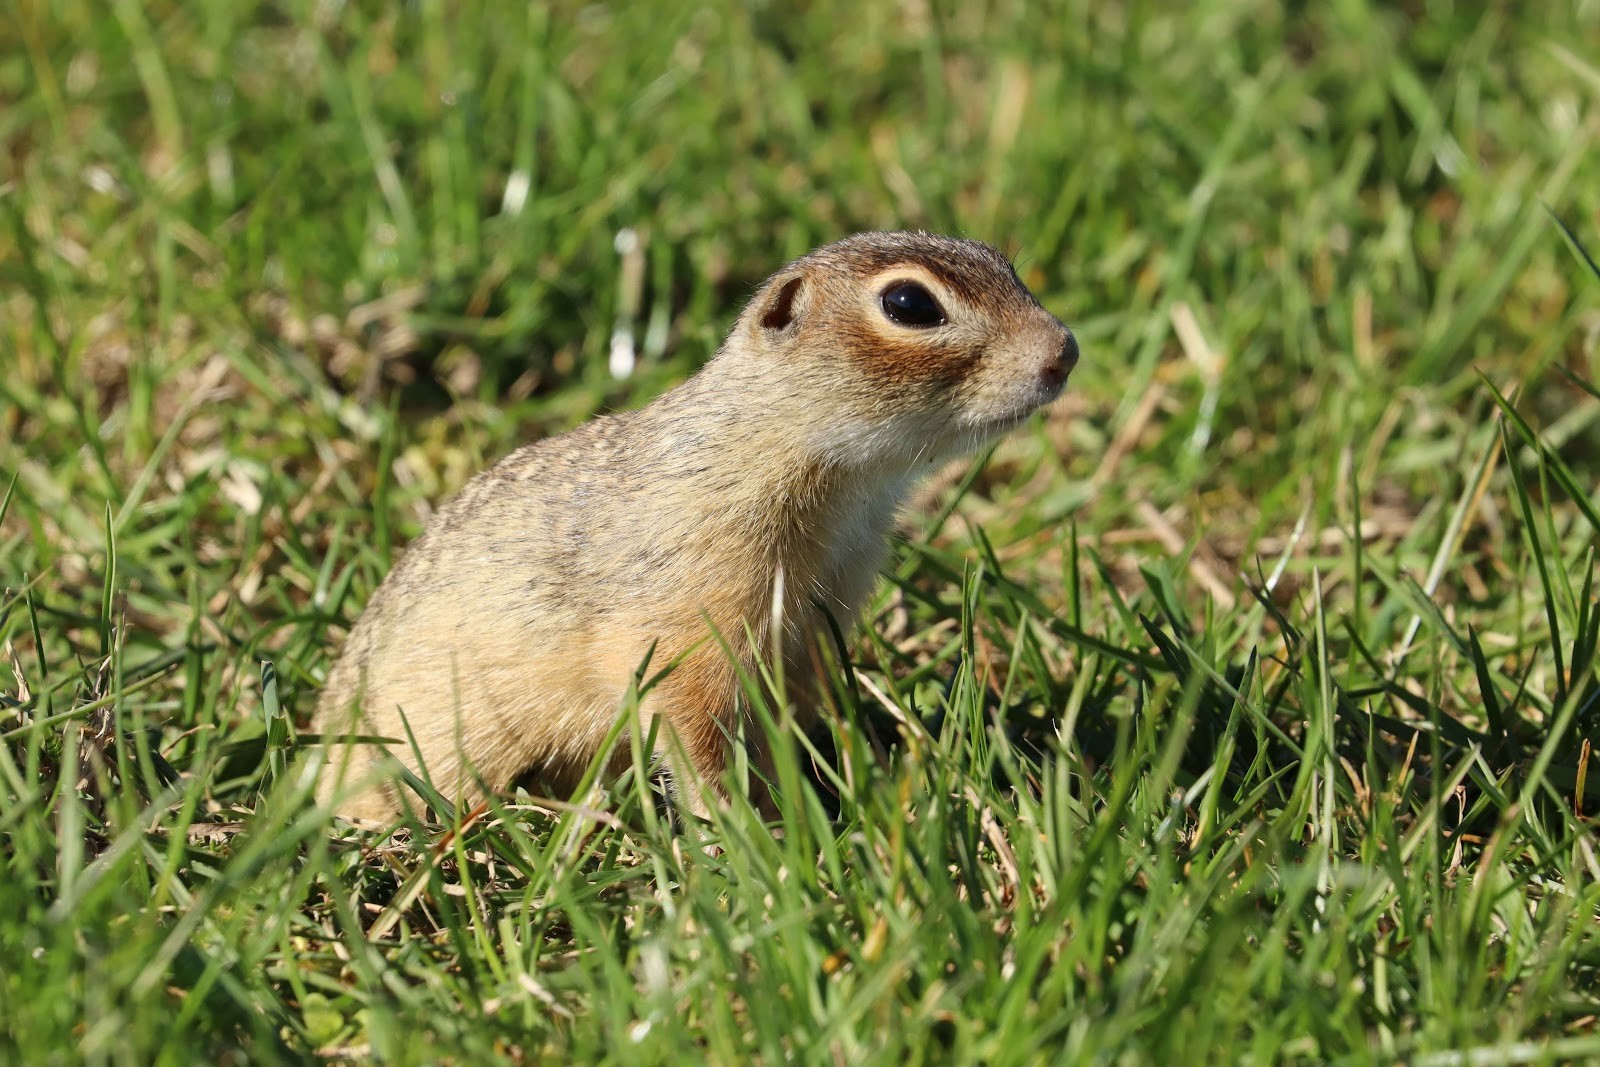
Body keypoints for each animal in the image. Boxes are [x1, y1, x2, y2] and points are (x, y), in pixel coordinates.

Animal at [312, 231, 1075, 825]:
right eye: (909, 304)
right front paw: (751, 835)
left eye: (1001, 260)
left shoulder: (815, 624)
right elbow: (693, 729)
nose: (1064, 352)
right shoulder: (691, 621)